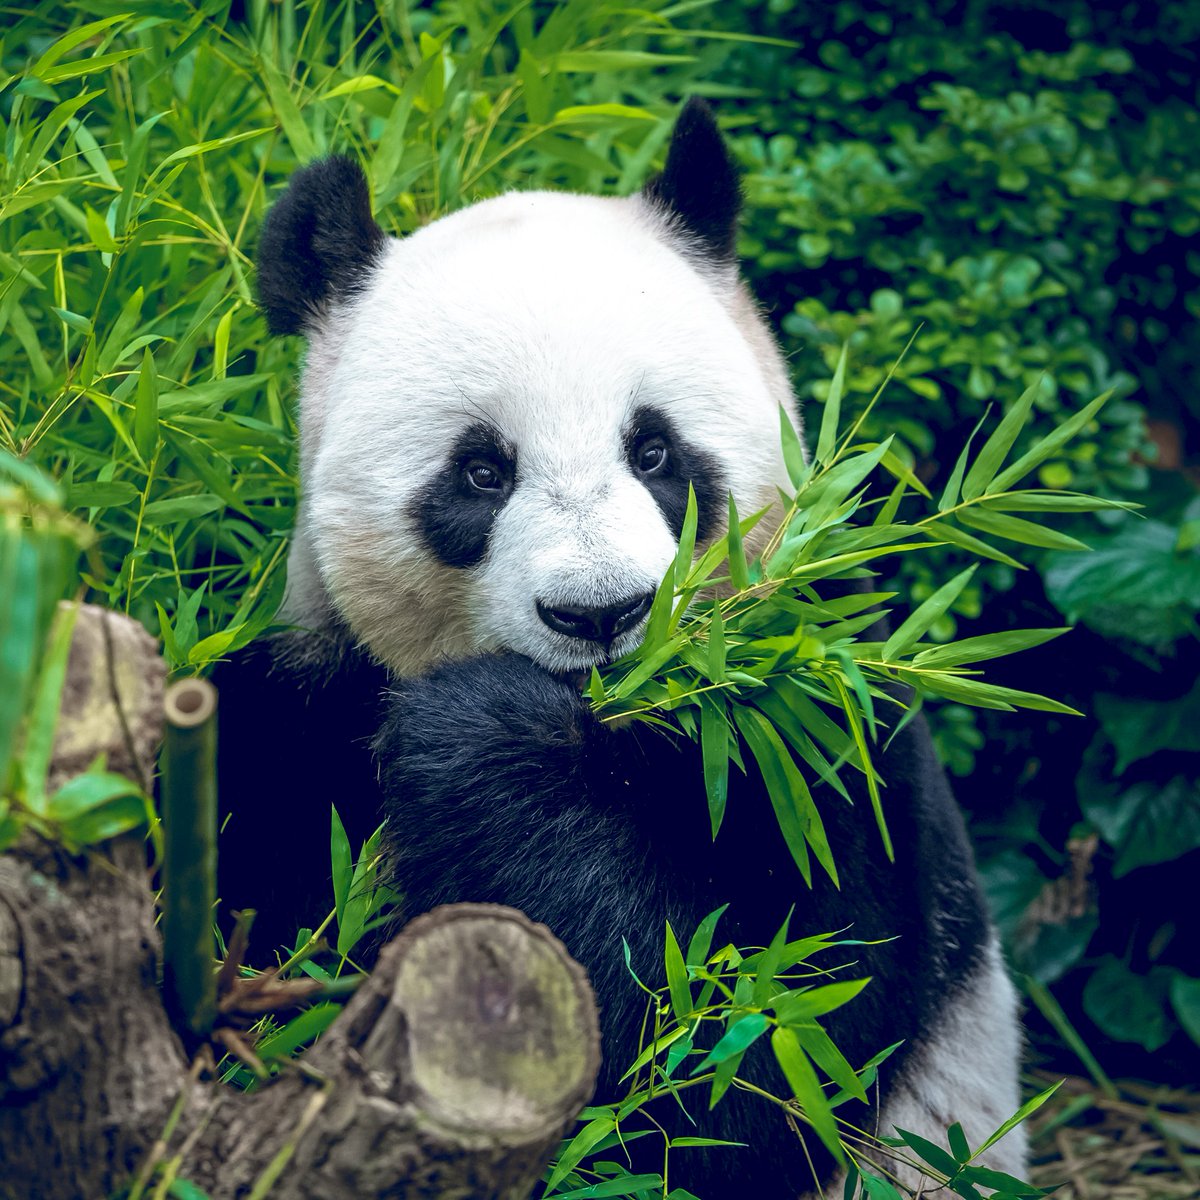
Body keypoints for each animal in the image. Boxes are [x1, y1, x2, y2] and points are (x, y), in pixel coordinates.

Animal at [216, 99, 1026, 1198]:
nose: (601, 613)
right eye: (480, 471)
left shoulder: (820, 738)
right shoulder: (303, 713)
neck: (619, 728)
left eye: (655, 451)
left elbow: (751, 1053)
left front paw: (480, 740)